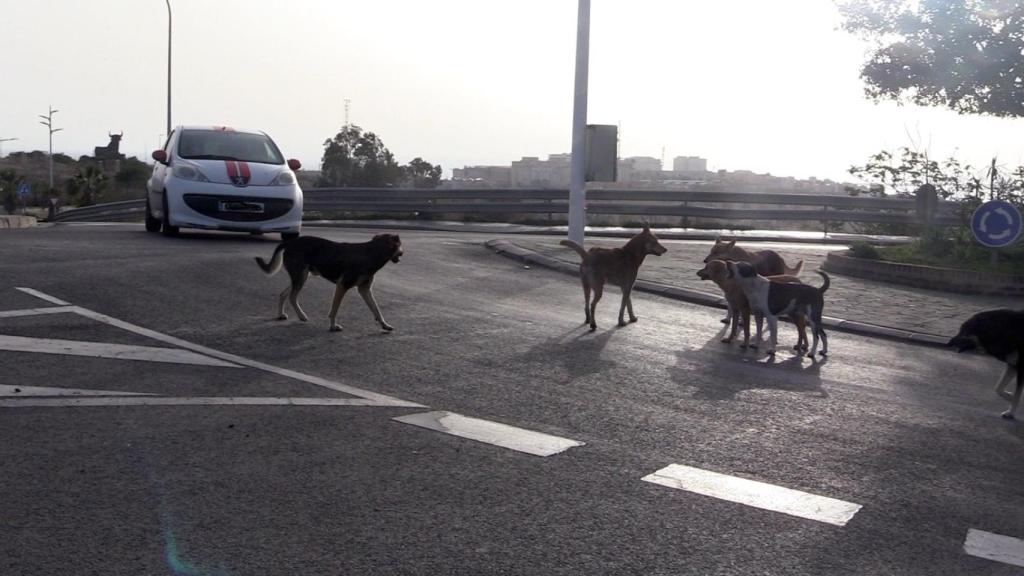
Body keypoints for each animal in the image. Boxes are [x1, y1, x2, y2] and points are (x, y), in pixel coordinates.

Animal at [253, 233, 401, 332]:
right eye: (399, 247)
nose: (402, 254)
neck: (372, 252)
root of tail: (290, 242)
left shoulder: (364, 289)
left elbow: (376, 309)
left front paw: (384, 324)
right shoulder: (342, 286)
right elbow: (334, 309)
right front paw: (333, 326)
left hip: (300, 276)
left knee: (283, 294)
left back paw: (281, 315)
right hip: (300, 276)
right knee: (292, 296)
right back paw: (301, 316)